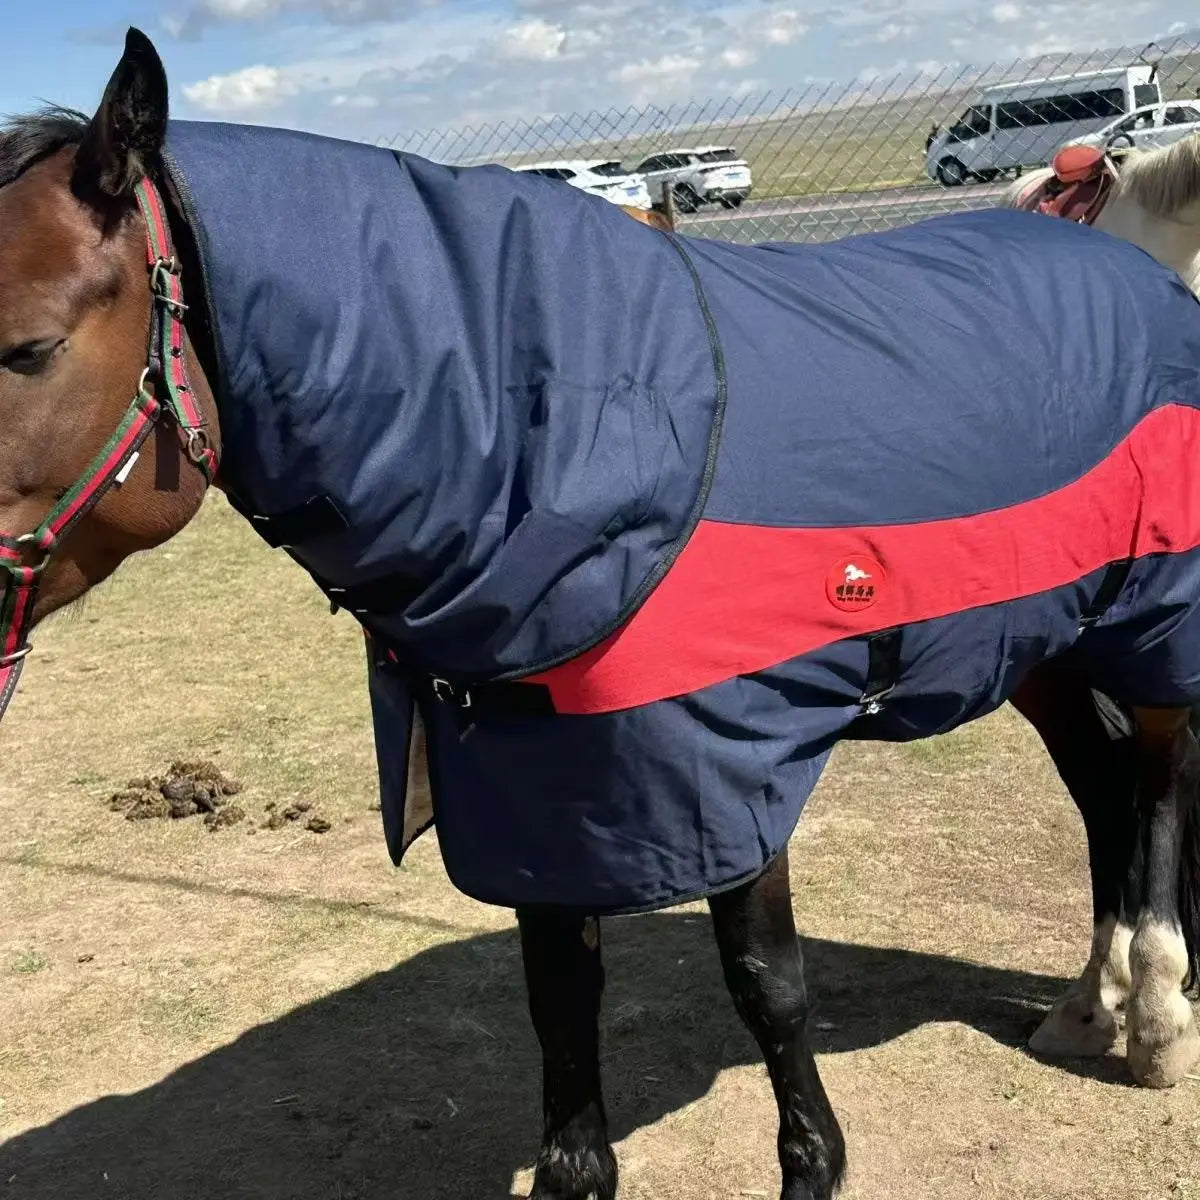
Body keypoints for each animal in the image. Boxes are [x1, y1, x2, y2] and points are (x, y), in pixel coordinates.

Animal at [4, 30, 1200, 1200]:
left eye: (30, 347)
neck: (571, 432)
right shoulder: (545, 797)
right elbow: (561, 1010)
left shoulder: (725, 770)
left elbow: (766, 986)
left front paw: (814, 1166)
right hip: (1042, 645)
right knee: (1102, 786)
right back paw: (1089, 1008)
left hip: (1150, 625)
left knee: (1154, 782)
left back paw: (1154, 1016)